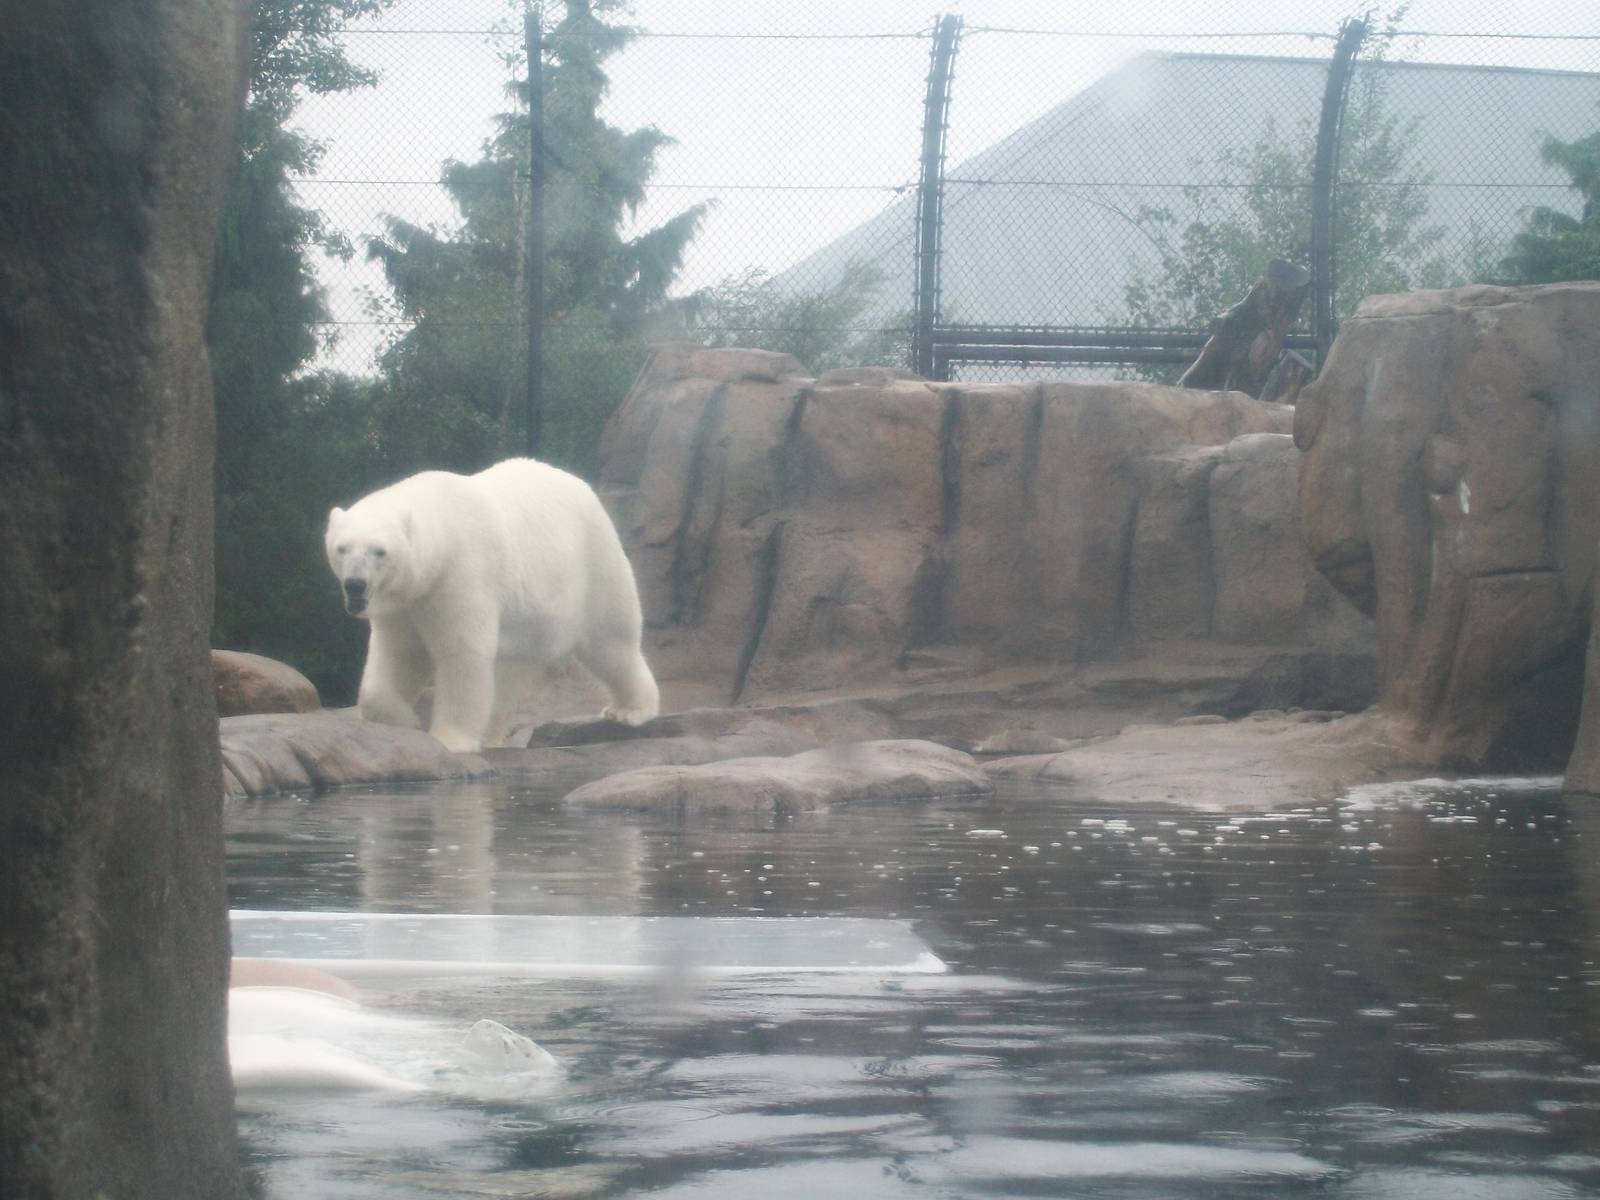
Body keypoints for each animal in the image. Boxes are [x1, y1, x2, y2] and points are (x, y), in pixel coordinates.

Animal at [325, 458, 659, 752]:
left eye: (379, 551)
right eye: (342, 548)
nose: (355, 584)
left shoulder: (461, 574)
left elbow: (463, 652)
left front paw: (450, 739)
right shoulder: (405, 604)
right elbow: (400, 655)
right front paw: (405, 721)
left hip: (593, 565)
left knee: (611, 643)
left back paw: (630, 709)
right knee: (511, 673)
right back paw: (492, 734)